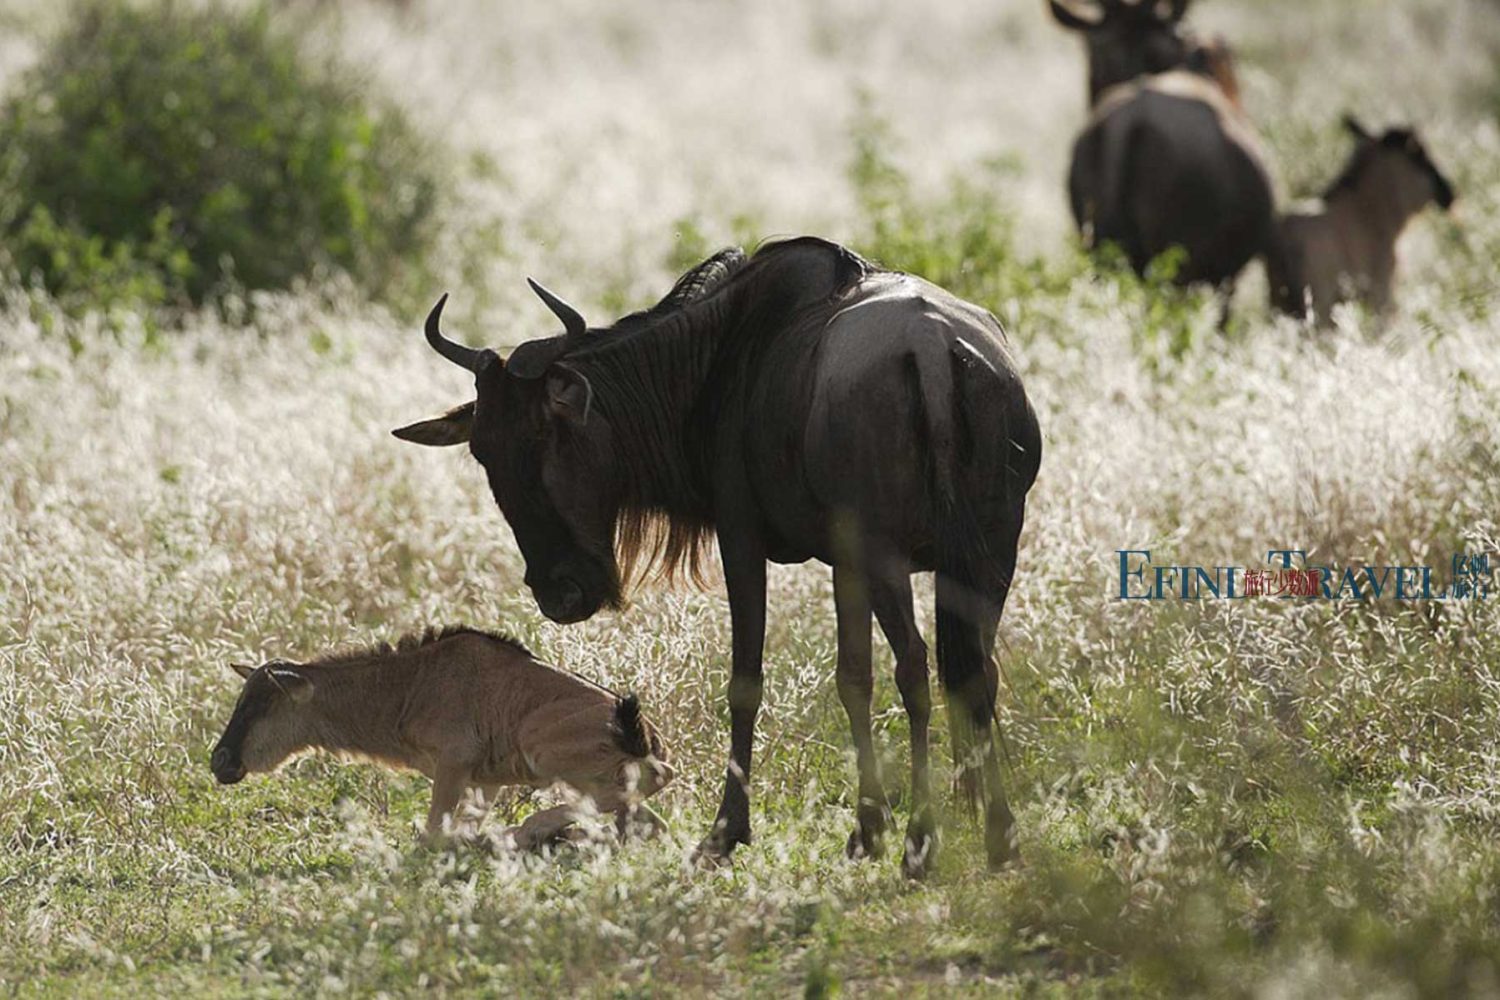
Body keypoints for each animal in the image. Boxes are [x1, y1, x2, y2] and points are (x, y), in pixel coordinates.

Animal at [210, 626, 675, 845]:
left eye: (262, 706)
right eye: (242, 699)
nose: (220, 761)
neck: (409, 684)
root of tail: (646, 736)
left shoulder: (453, 764)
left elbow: (434, 834)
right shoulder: (484, 781)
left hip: (539, 744)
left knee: (651, 783)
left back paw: (530, 831)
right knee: (652, 818)